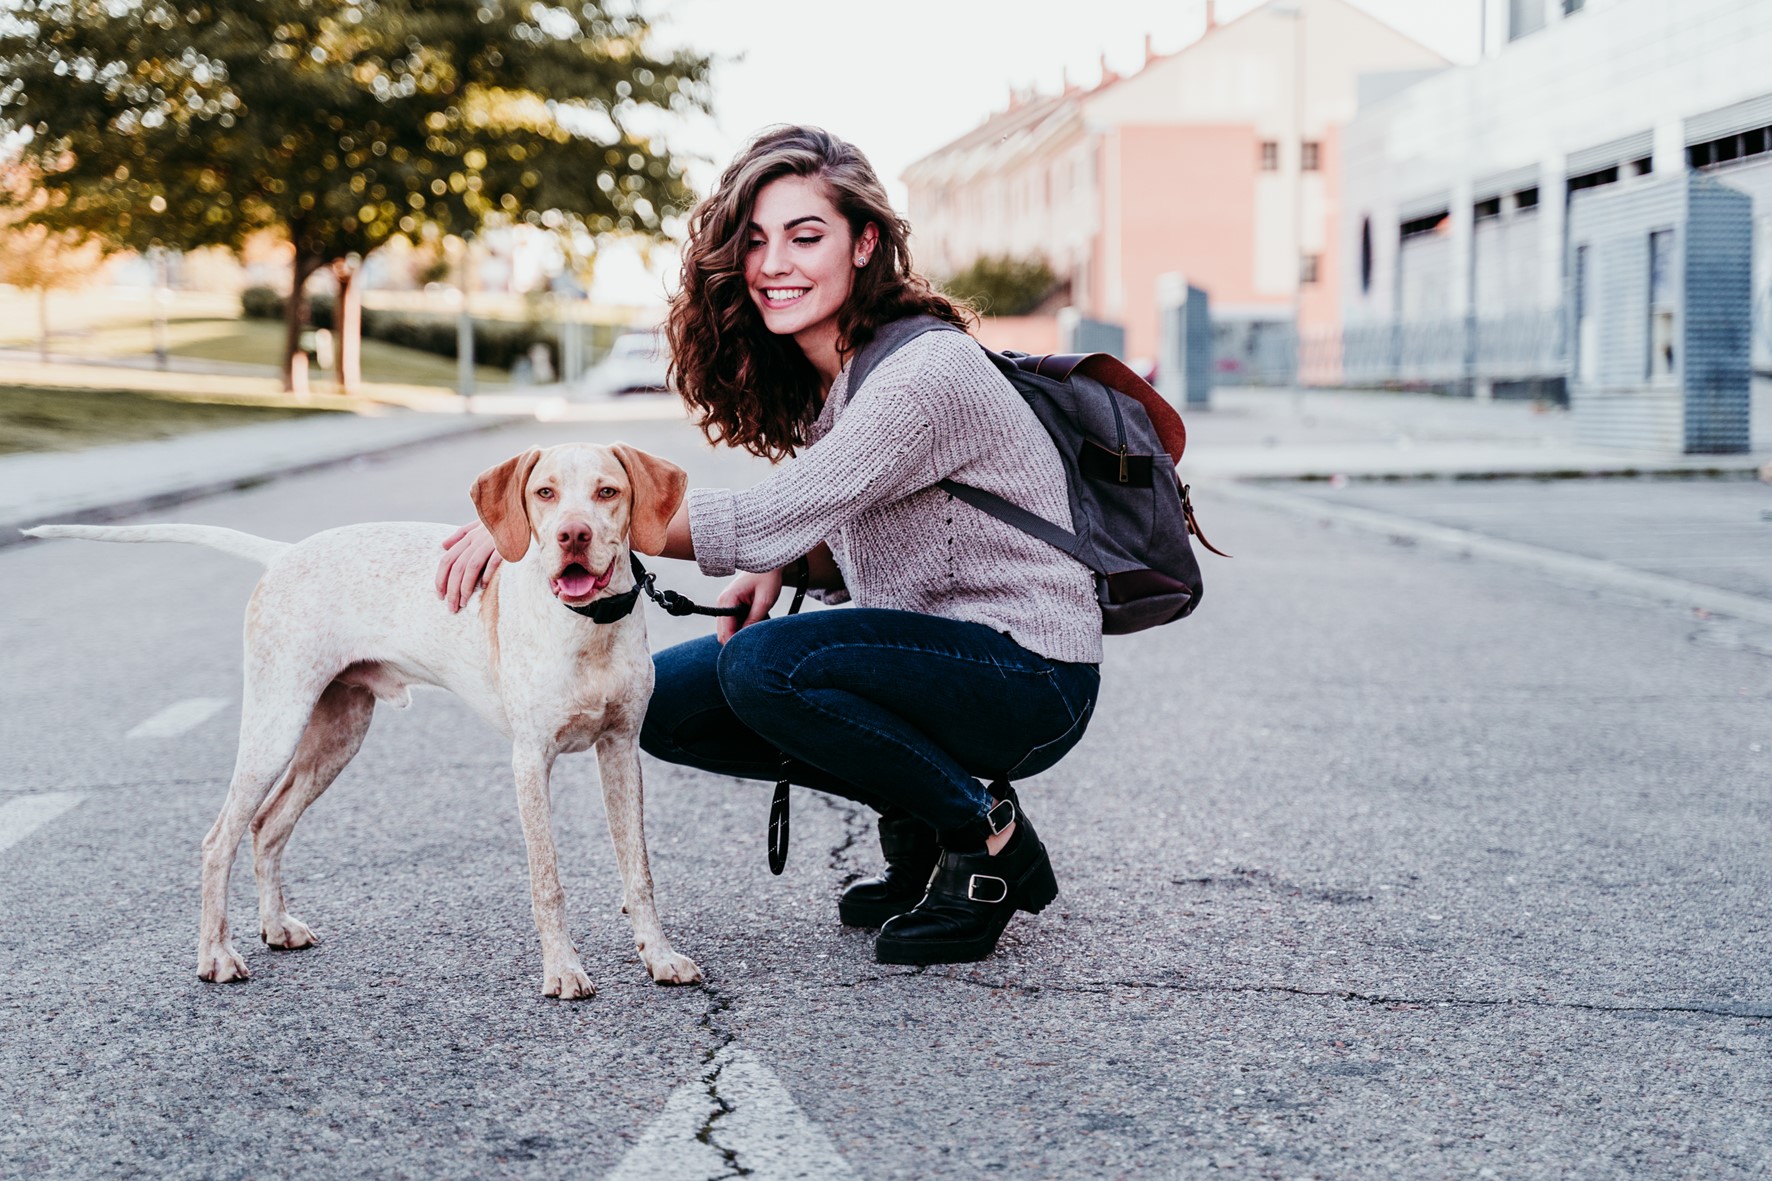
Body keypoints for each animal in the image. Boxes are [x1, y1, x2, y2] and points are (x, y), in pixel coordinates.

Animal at [24, 441, 698, 993]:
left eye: (607, 493)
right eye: (545, 494)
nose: (572, 537)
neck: (588, 629)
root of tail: (285, 554)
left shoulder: (620, 750)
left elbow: (639, 872)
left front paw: (659, 956)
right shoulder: (530, 760)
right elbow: (548, 880)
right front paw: (562, 970)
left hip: (338, 735)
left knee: (267, 825)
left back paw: (276, 927)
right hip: (276, 725)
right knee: (220, 838)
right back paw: (215, 955)